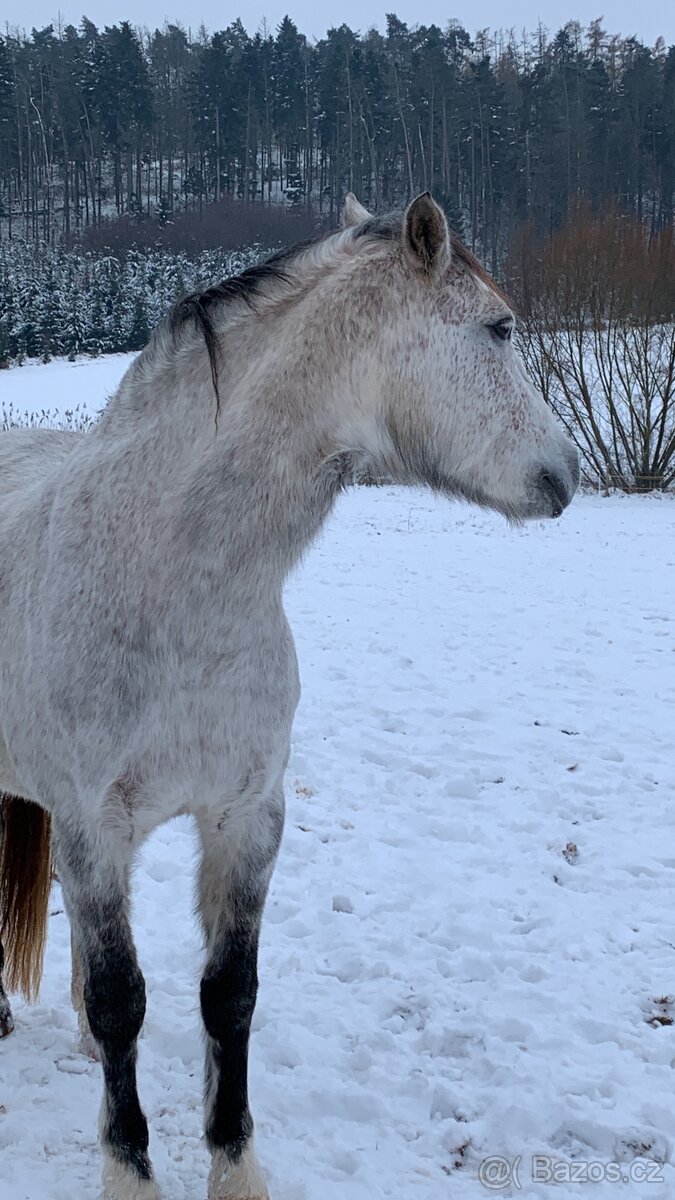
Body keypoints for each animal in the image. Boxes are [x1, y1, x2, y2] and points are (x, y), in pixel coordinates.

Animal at [0, 192, 579, 1200]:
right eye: (498, 327)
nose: (565, 472)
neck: (174, 581)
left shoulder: (247, 816)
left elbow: (226, 997)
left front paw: (235, 1170)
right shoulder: (90, 826)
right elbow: (121, 999)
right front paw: (130, 1171)